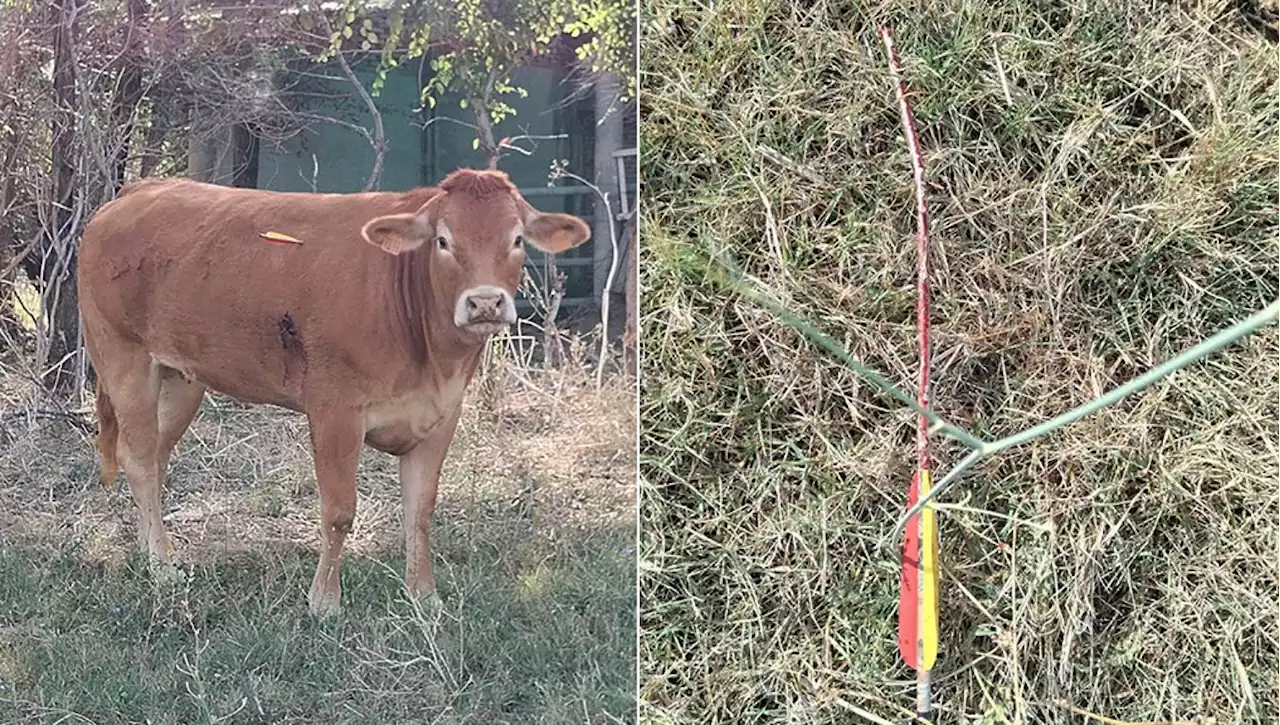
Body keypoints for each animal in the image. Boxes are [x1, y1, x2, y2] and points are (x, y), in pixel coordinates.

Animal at [74, 167, 586, 617]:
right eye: (443, 240)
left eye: (516, 239)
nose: (484, 302)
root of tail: (136, 192)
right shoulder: (335, 410)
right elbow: (339, 511)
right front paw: (325, 602)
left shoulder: (441, 416)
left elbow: (420, 512)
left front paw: (425, 597)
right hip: (123, 358)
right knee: (140, 460)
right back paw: (162, 568)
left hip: (182, 378)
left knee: (156, 459)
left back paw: (154, 550)